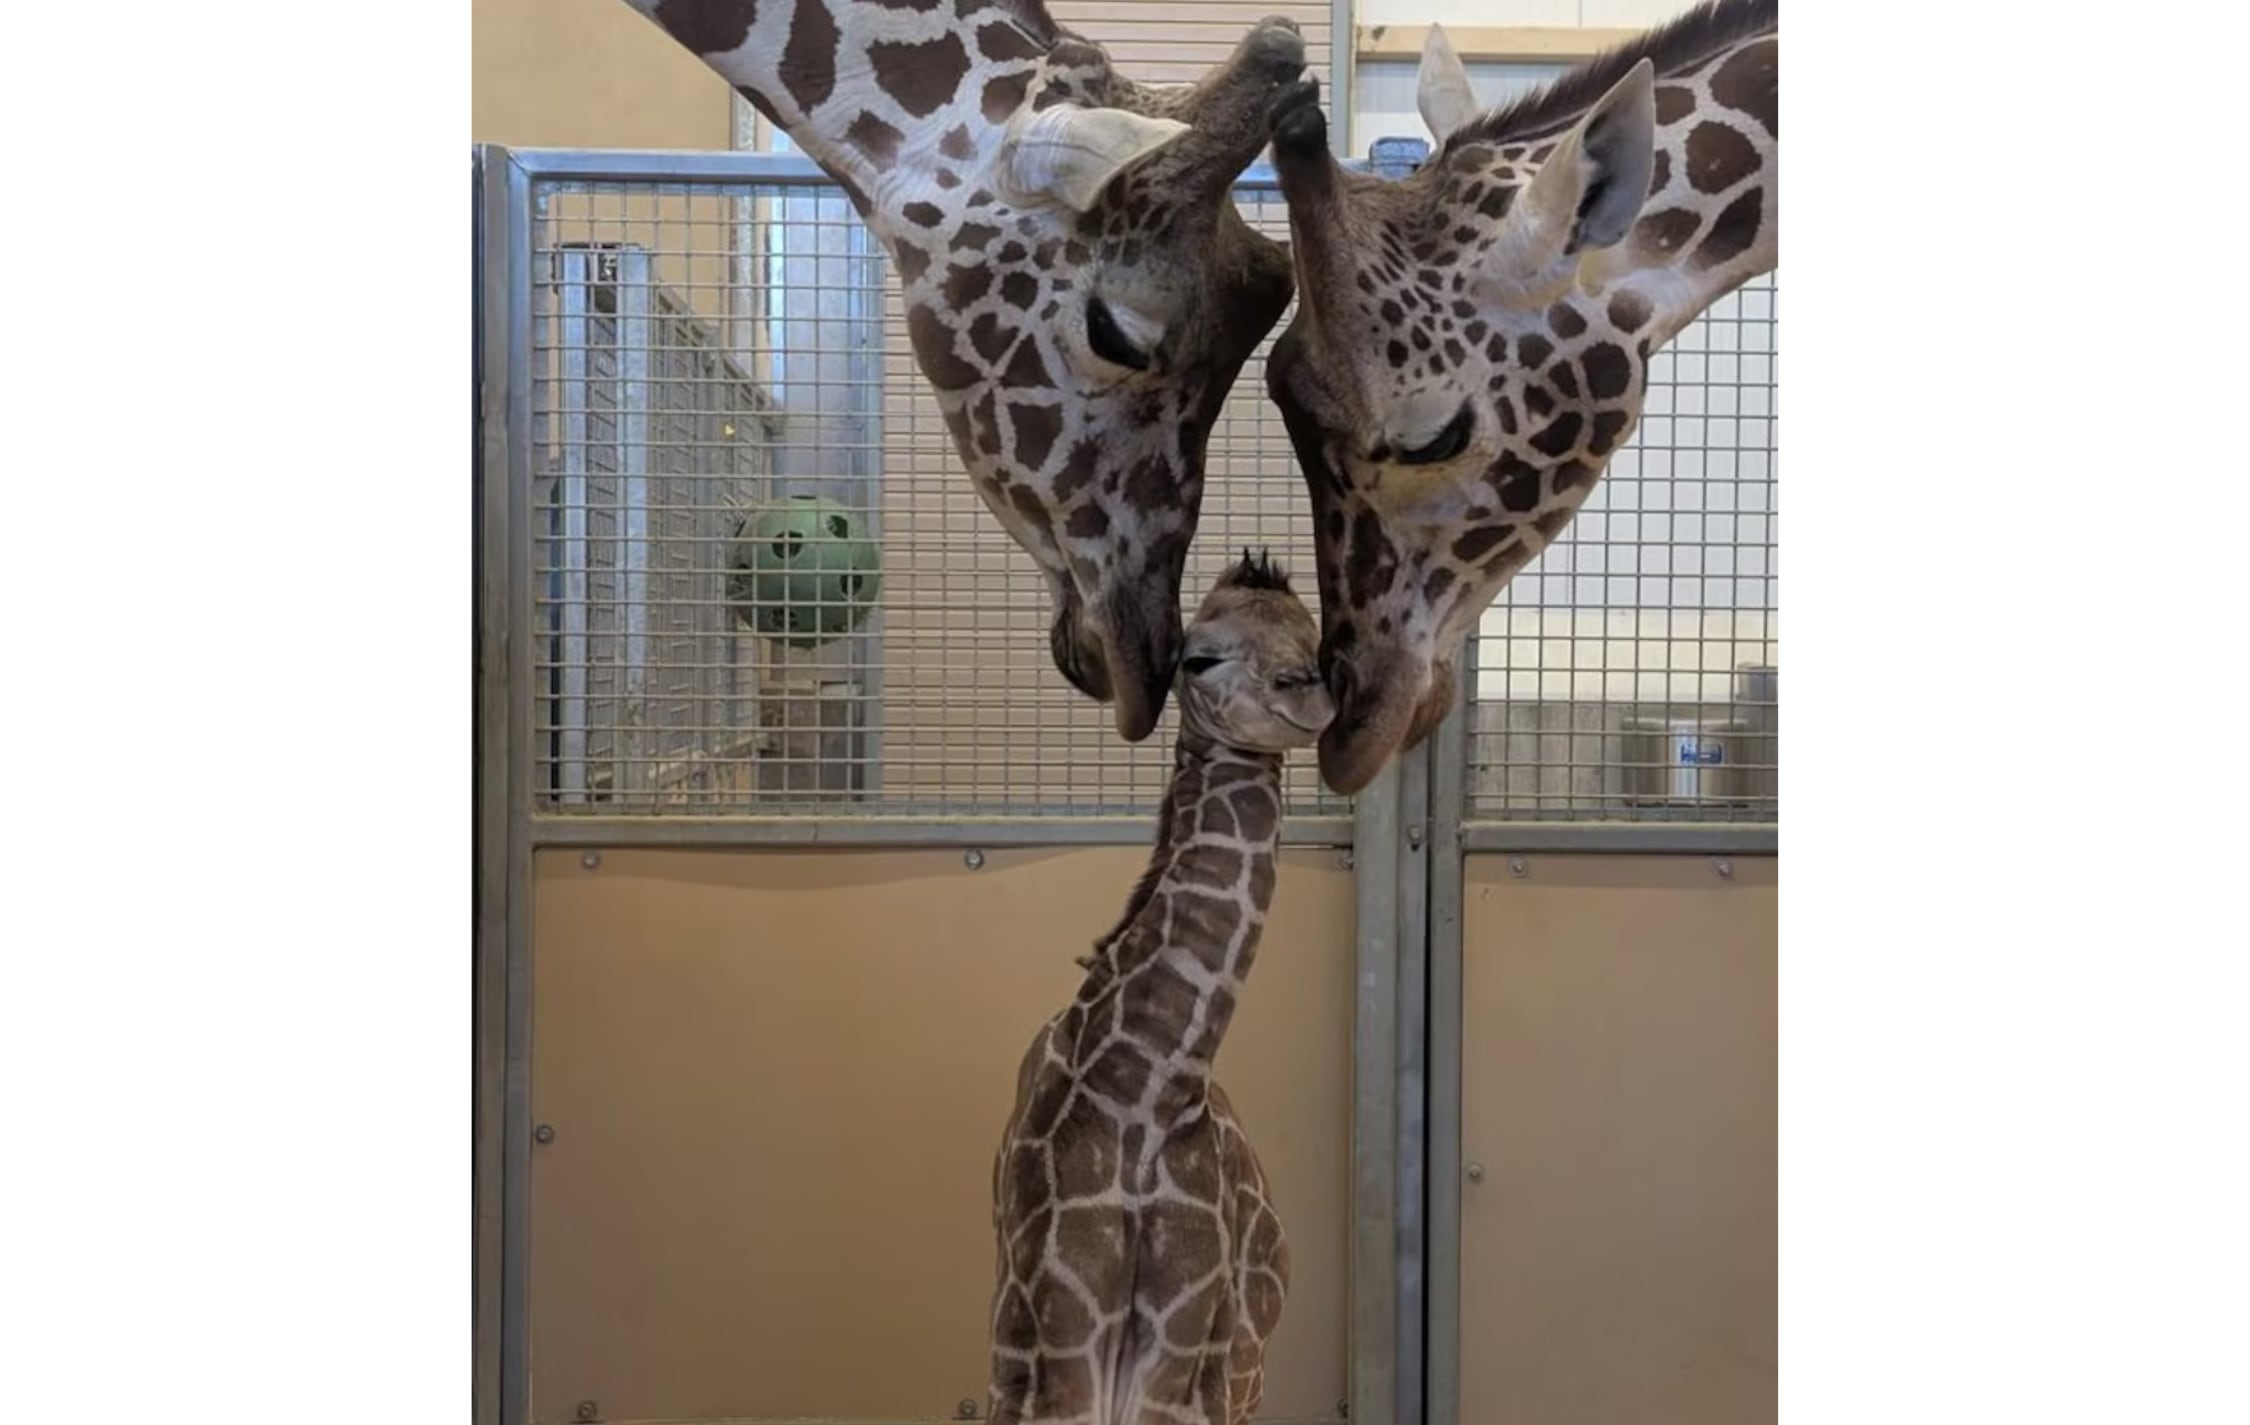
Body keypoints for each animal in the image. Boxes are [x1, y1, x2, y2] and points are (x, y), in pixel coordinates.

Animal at [986, 550, 1332, 1424]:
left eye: (1314, 635)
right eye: (1198, 657)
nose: (1307, 693)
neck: (1148, 1085)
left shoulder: (1181, 1368)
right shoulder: (1050, 1360)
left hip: (1245, 1371)